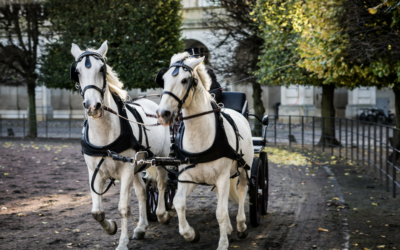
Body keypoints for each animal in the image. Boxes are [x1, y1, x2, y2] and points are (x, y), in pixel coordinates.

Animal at [70, 41, 170, 250]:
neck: (105, 134)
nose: (93, 106)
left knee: (162, 183)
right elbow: (96, 211)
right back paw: (141, 228)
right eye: (77, 72)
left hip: (161, 158)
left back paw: (162, 215)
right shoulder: (95, 172)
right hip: (138, 165)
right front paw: (111, 227)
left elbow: (124, 208)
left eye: (102, 69)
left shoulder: (126, 170)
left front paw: (122, 243)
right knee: (142, 192)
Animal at [156, 51, 253, 249]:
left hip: (245, 168)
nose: (163, 114)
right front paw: (191, 234)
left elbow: (220, 212)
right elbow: (179, 203)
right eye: (164, 79)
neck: (200, 136)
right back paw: (230, 228)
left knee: (242, 191)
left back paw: (241, 225)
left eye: (185, 80)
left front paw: (222, 243)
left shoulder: (222, 176)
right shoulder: (187, 177)